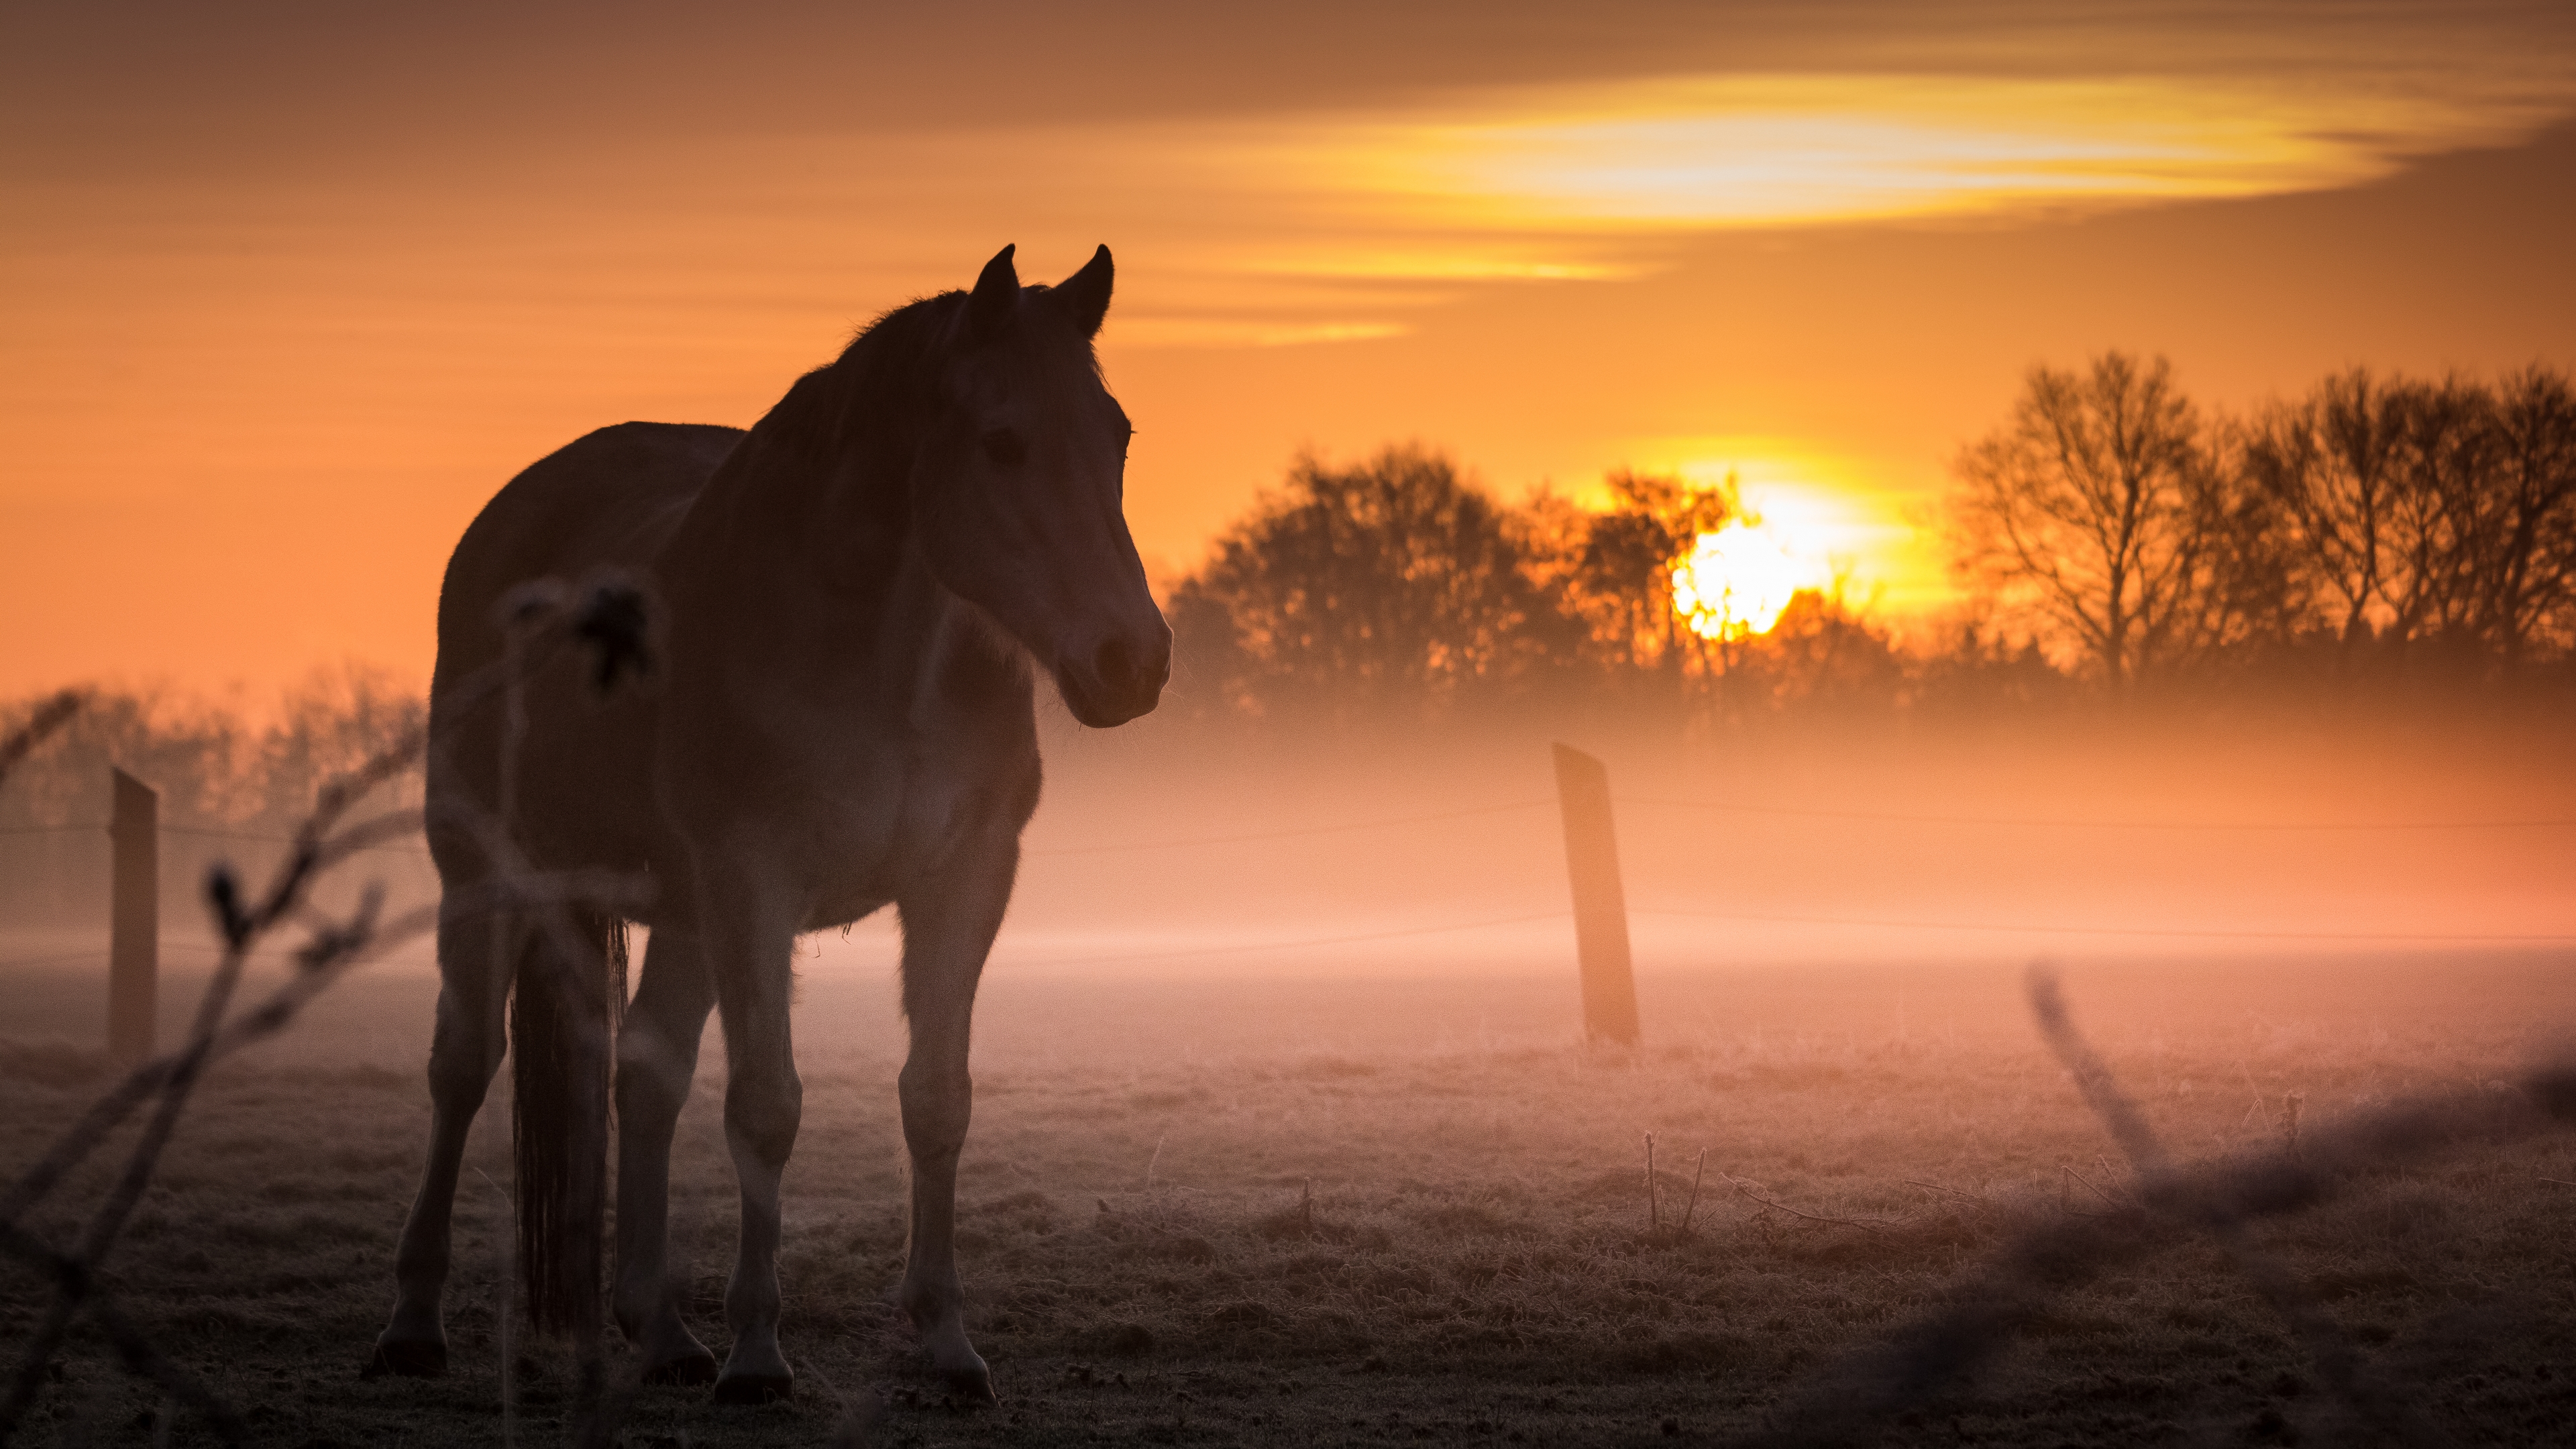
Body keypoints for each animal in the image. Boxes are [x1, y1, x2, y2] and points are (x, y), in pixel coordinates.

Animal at [366, 245, 1169, 1402]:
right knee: (463, 1066)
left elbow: (937, 1100)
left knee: (646, 1077)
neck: (880, 660)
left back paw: (660, 1332)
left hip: (682, 914)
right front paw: (757, 1354)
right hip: (488, 872)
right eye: (1004, 441)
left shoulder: (964, 880)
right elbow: (766, 1106)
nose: (1131, 661)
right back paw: (413, 1326)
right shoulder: (755, 884)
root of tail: (511, 519)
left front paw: (946, 1342)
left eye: (1117, 435)